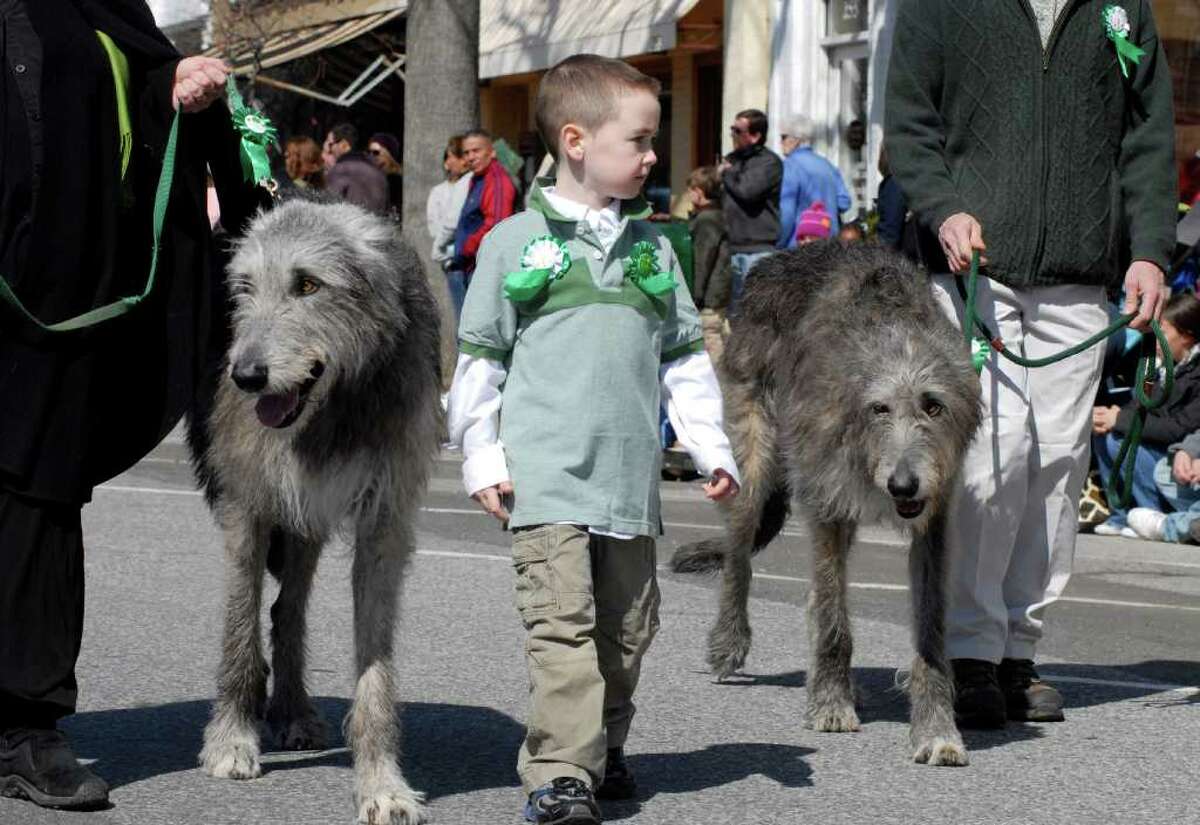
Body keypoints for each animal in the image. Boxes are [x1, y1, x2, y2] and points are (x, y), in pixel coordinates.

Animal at [190, 196, 441, 820]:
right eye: (245, 287)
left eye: (307, 284)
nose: (246, 376)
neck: (333, 411)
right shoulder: (248, 504)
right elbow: (238, 627)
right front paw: (230, 739)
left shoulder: (384, 523)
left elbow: (375, 665)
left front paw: (381, 783)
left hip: (307, 520)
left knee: (289, 610)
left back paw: (294, 710)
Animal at [672, 243, 979, 767]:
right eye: (879, 408)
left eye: (933, 405)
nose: (902, 486)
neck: (895, 333)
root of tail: (772, 261)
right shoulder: (827, 501)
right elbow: (836, 618)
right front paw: (832, 705)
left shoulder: (933, 519)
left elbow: (931, 625)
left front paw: (936, 730)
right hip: (753, 448)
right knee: (739, 550)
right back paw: (729, 641)